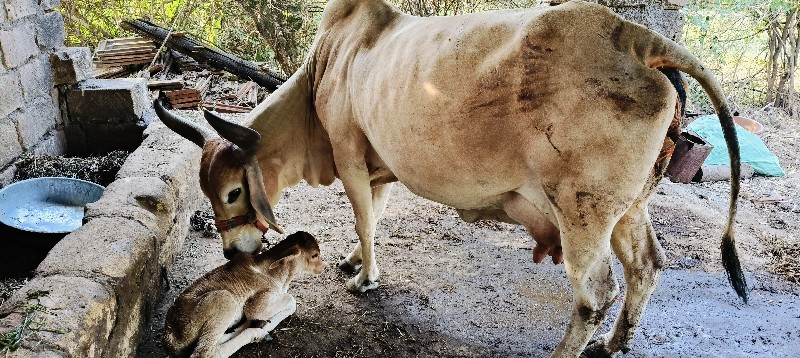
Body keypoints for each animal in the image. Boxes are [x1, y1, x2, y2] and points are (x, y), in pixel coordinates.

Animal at [164, 231, 326, 356]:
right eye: (314, 255)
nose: (323, 267)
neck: (280, 278)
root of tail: (169, 335)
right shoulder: (256, 305)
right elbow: (291, 299)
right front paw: (268, 324)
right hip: (224, 299)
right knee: (205, 352)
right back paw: (258, 333)